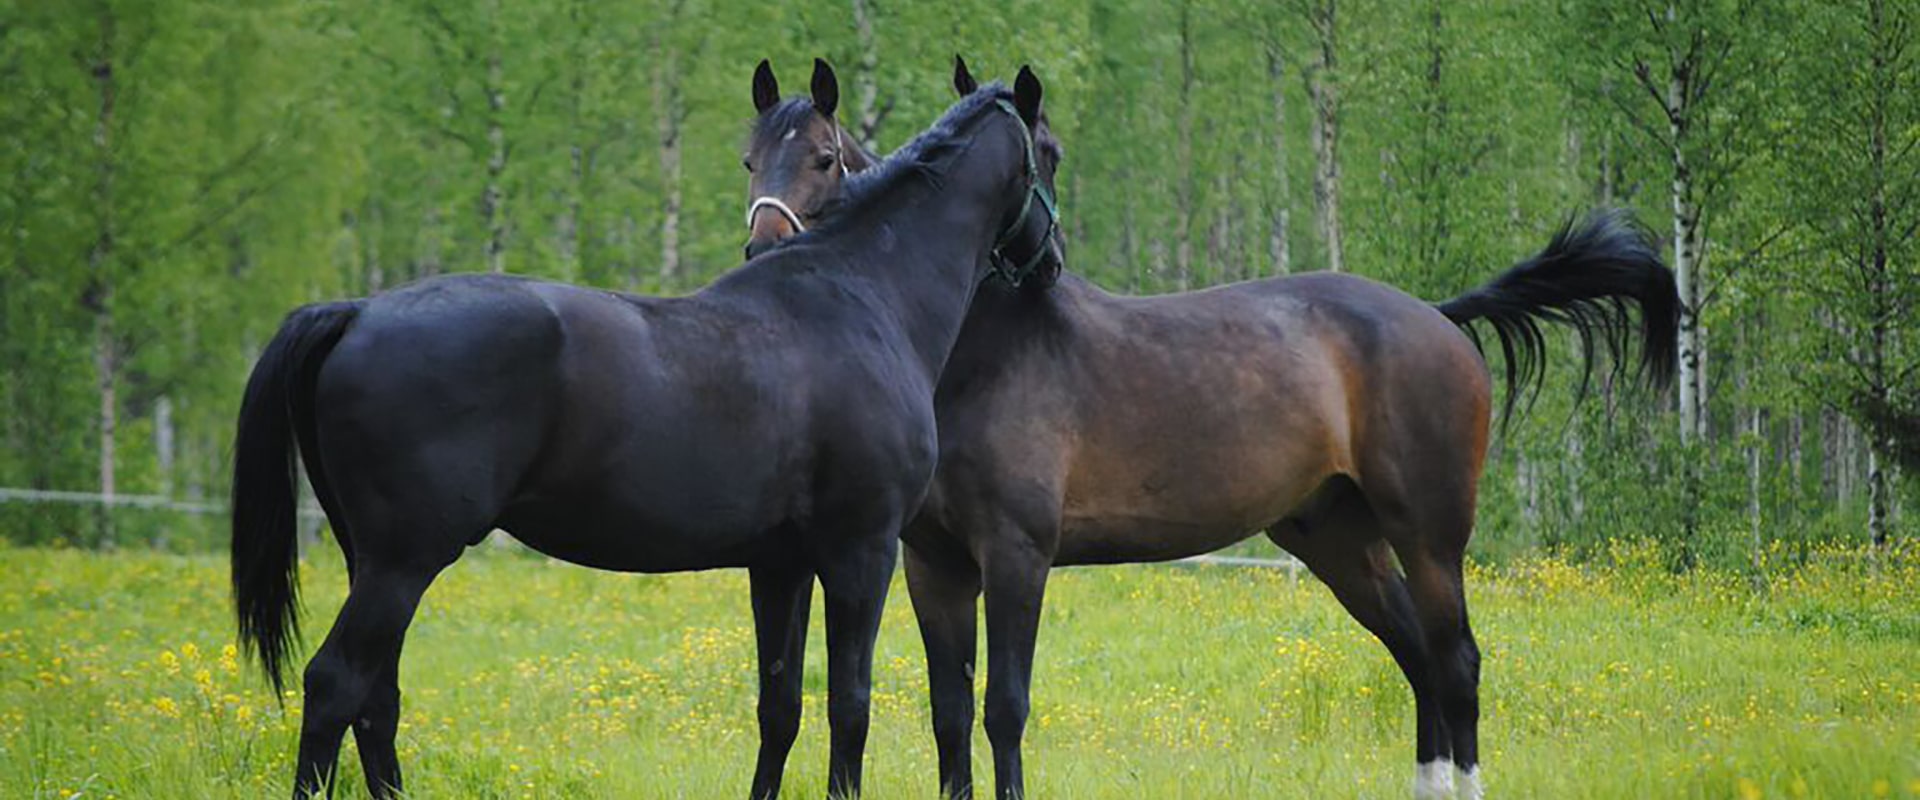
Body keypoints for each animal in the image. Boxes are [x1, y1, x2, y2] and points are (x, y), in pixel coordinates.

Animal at [230, 71, 1067, 794]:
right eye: (1052, 152)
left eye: (823, 158)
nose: (1053, 262)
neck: (860, 296)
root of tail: (357, 311)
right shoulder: (861, 550)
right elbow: (849, 707)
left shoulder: (782, 563)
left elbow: (780, 707)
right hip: (403, 561)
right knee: (336, 685)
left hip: (373, 560)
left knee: (377, 699)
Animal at [741, 57, 1674, 798]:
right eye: (751, 157)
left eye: (824, 158)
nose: (759, 253)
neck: (978, 346)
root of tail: (1437, 318)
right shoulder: (934, 566)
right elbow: (950, 715)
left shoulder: (1016, 554)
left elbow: (1004, 709)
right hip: (1340, 541)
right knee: (1418, 659)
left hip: (1430, 536)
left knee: (1456, 664)